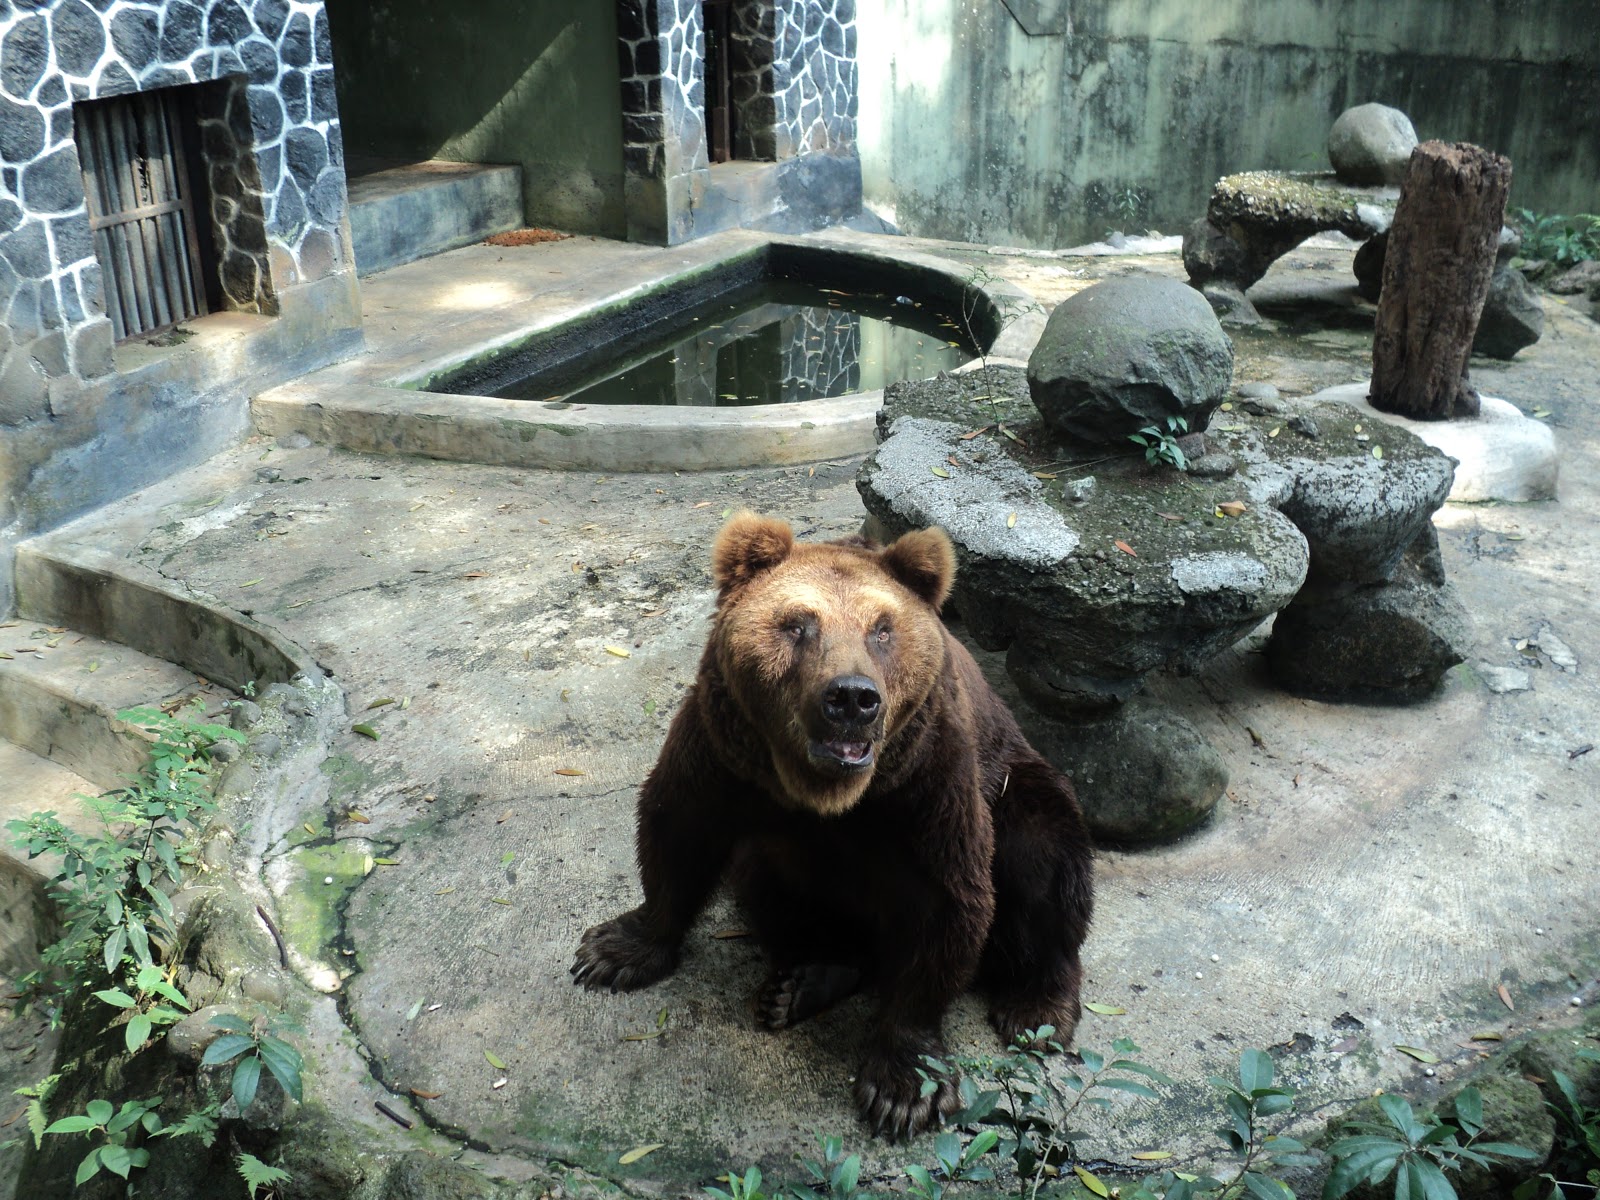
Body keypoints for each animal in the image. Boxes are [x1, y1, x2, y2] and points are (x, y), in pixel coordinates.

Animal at [569, 512, 1094, 1139]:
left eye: (883, 629)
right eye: (798, 624)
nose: (851, 698)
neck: (827, 794)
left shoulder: (927, 778)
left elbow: (948, 901)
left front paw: (902, 1088)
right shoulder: (724, 751)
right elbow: (680, 828)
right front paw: (613, 950)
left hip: (1016, 783)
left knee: (1043, 860)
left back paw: (1037, 1008)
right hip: (778, 864)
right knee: (775, 887)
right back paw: (805, 983)